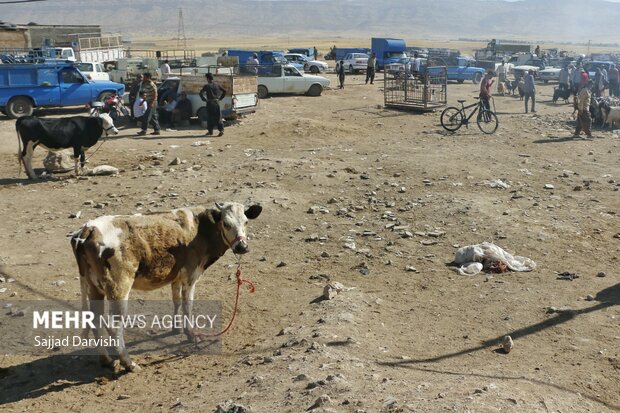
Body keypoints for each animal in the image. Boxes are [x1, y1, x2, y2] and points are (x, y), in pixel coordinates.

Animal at [70, 202, 262, 370]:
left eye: (246, 222)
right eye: (226, 223)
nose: (242, 246)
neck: (200, 229)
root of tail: (89, 229)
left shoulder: (176, 276)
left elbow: (176, 300)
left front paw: (177, 328)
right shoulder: (191, 276)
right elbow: (187, 305)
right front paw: (191, 334)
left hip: (94, 287)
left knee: (95, 320)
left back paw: (107, 360)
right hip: (119, 288)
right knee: (113, 326)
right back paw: (129, 364)